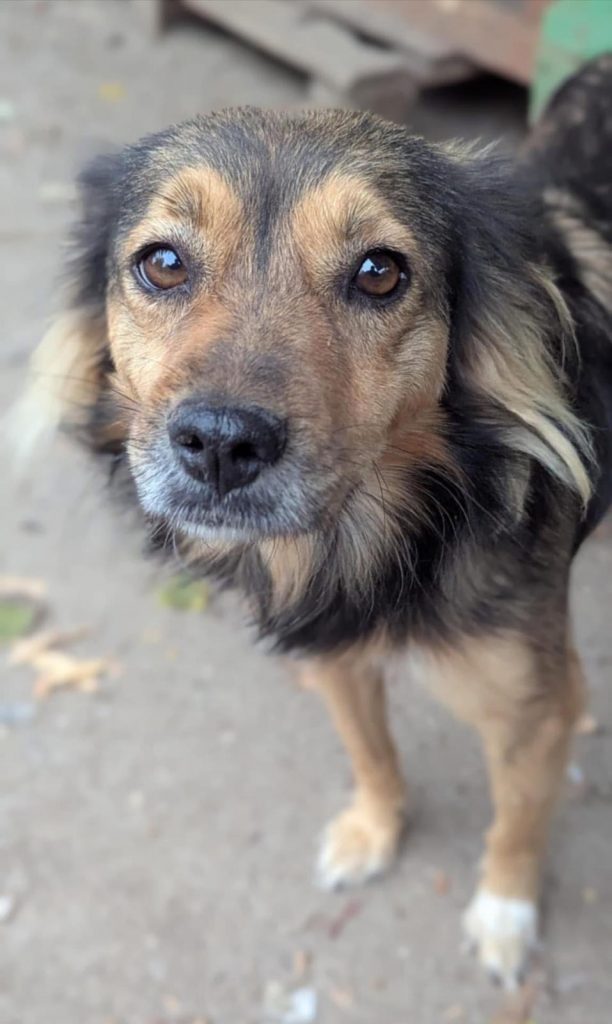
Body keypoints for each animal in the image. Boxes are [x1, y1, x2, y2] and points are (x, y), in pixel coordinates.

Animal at [18, 55, 612, 988]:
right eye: (162, 263)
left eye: (379, 272)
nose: (221, 445)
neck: (382, 538)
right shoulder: (331, 654)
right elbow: (370, 750)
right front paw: (374, 830)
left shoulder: (536, 703)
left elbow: (517, 820)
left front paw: (505, 914)